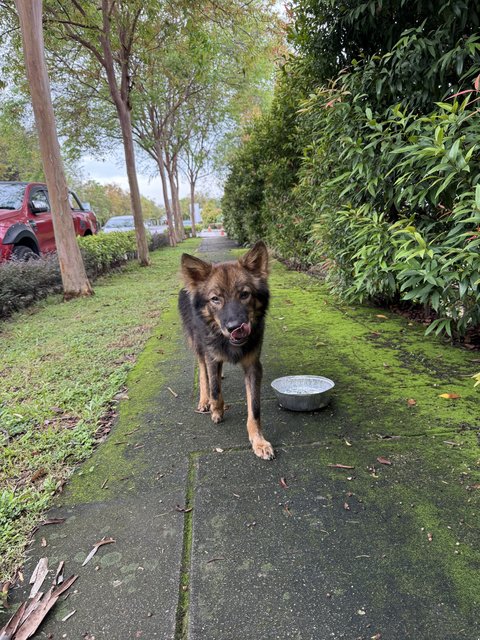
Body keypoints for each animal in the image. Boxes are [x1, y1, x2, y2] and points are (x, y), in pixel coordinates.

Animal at [178, 241, 274, 460]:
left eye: (244, 294)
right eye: (215, 299)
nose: (235, 327)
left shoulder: (253, 365)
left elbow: (254, 408)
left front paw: (258, 441)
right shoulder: (212, 356)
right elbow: (214, 387)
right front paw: (216, 410)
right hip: (198, 345)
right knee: (203, 372)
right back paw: (204, 400)